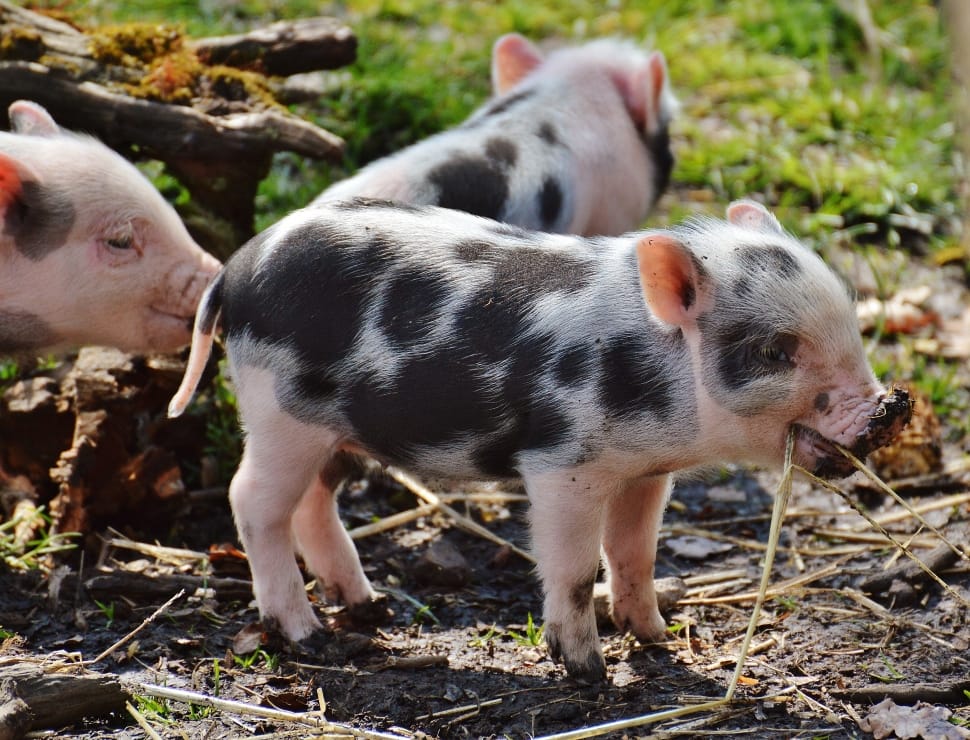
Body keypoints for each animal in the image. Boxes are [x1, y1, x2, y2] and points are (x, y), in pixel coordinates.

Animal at [169, 197, 911, 681]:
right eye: (775, 350)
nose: (891, 406)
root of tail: (235, 271)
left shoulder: (646, 471)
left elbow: (635, 553)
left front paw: (661, 640)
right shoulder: (563, 465)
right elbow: (577, 568)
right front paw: (587, 673)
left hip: (333, 433)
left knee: (313, 505)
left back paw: (367, 606)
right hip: (278, 415)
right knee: (252, 501)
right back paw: (307, 635)